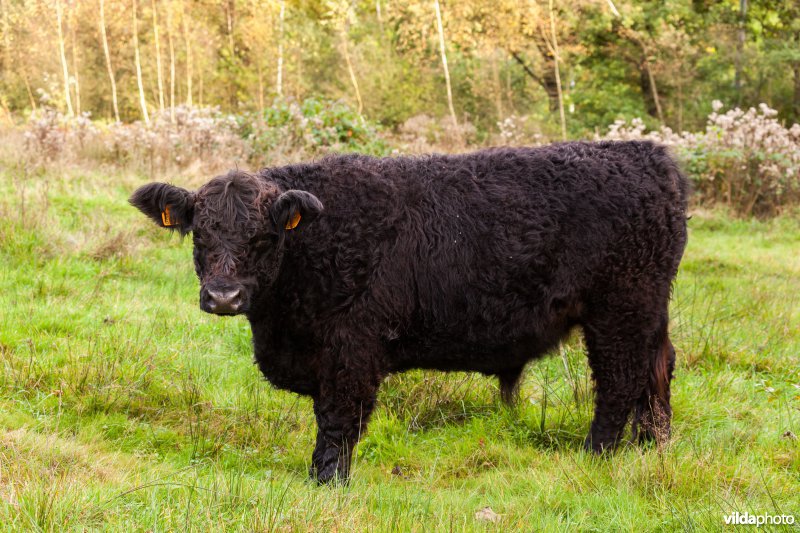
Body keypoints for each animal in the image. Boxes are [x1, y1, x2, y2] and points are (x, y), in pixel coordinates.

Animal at [130, 141, 689, 483]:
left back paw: (599, 455)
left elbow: (338, 422)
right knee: (657, 372)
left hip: (619, 310)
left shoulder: (352, 350)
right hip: (647, 313)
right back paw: (653, 448)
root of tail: (649, 157)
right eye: (201, 235)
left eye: (263, 238)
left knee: (620, 382)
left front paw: (326, 481)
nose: (223, 296)